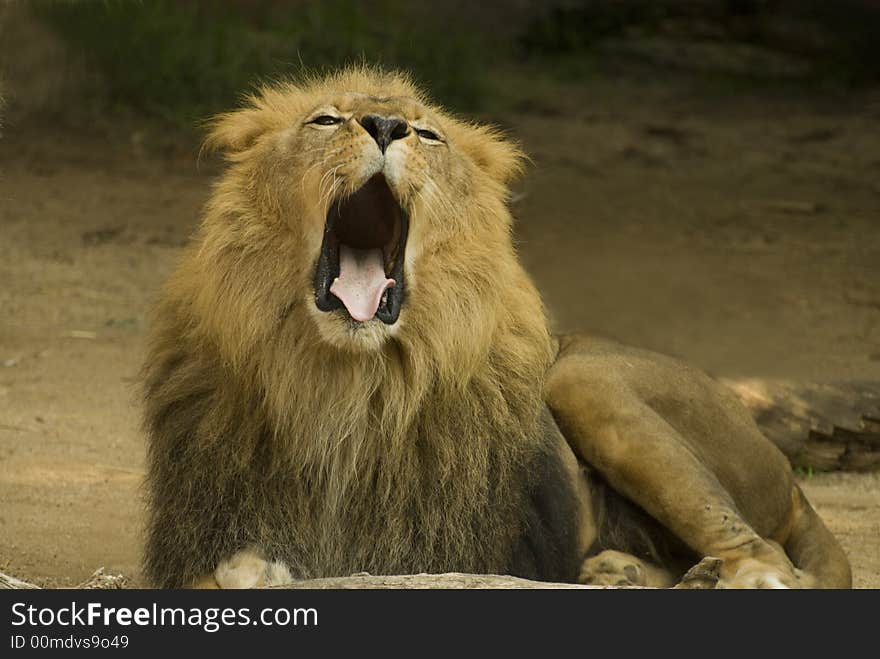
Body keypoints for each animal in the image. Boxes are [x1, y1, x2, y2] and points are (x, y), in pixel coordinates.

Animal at [141, 67, 848, 592]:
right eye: (325, 120)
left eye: (427, 134)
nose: (386, 126)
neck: (344, 385)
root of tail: (791, 479)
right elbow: (227, 570)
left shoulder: (446, 554)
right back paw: (618, 572)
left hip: (581, 375)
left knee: (770, 555)